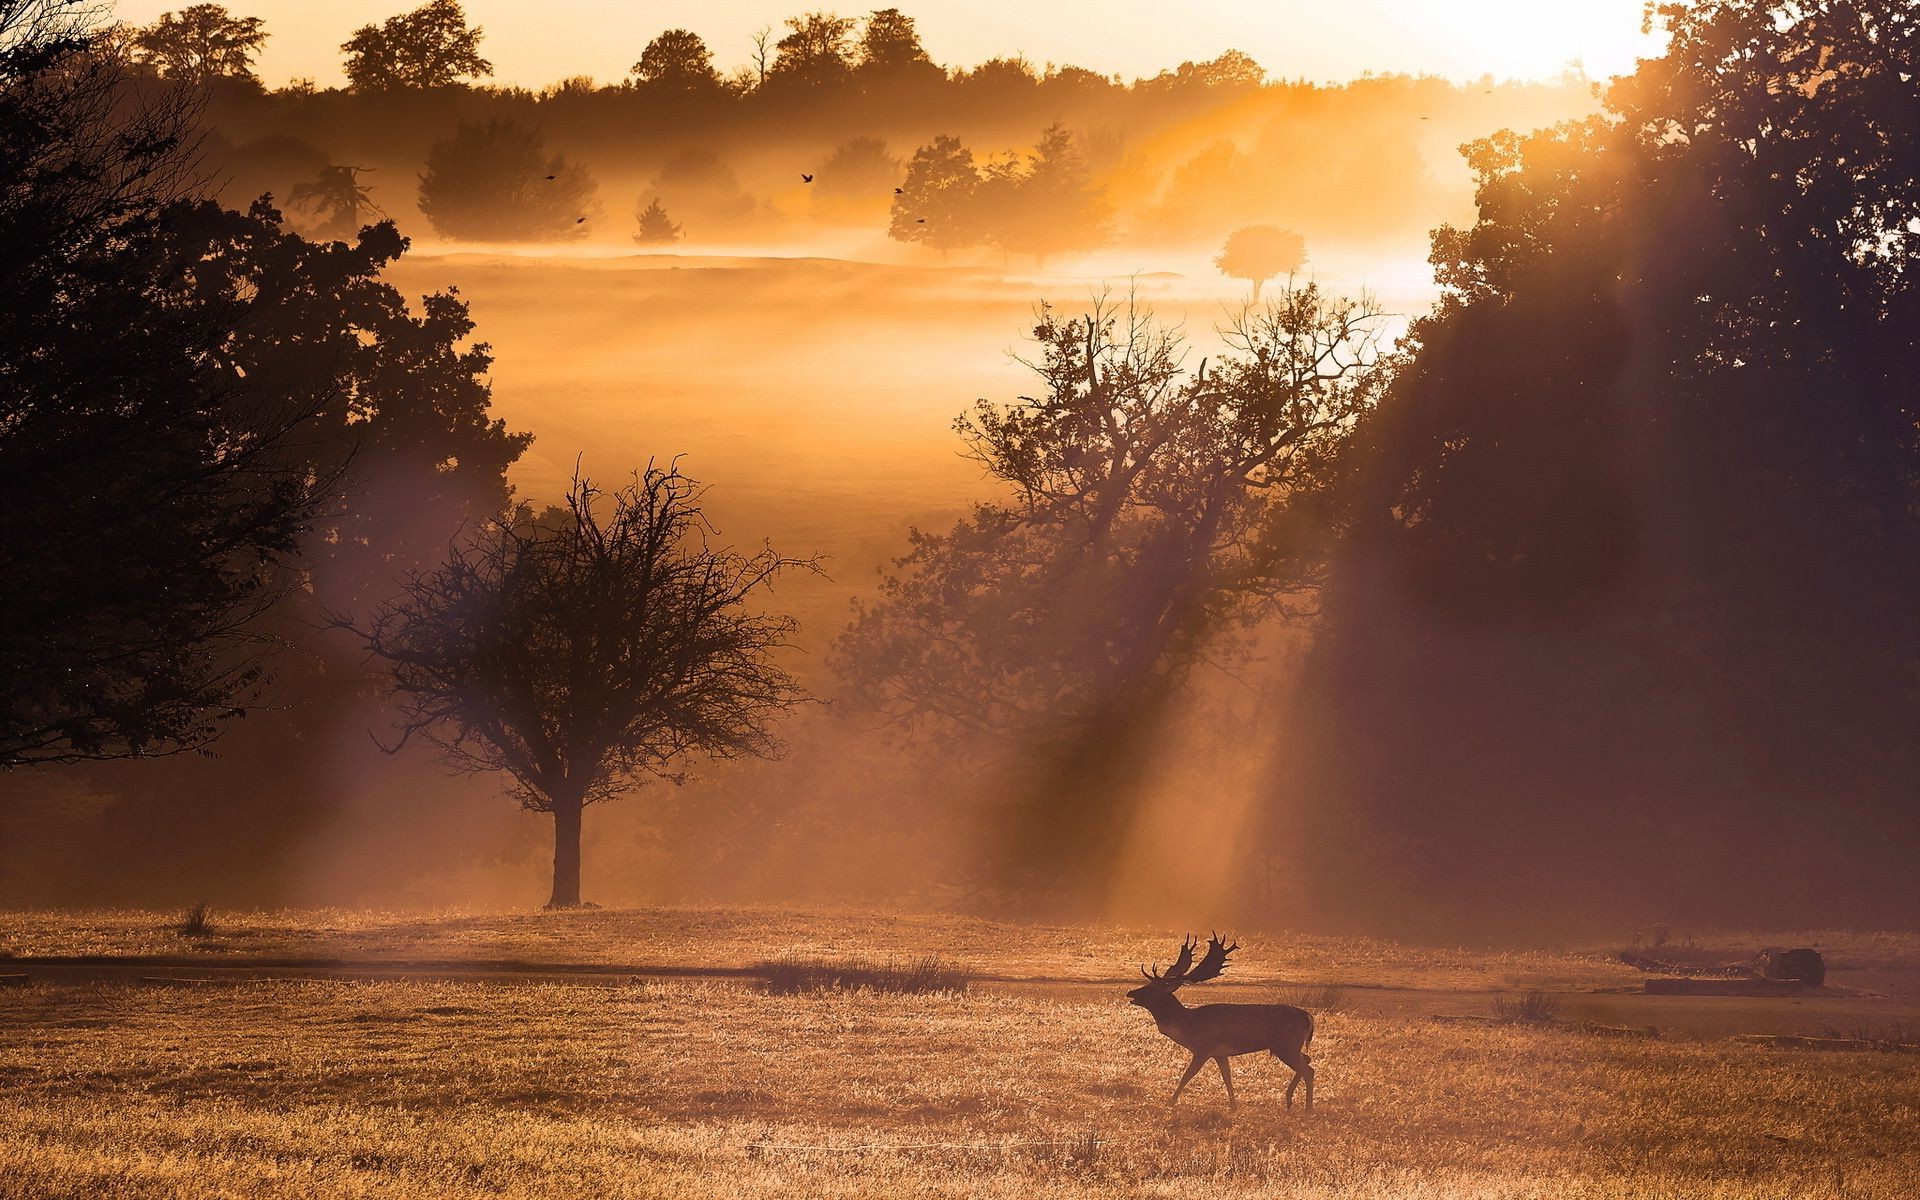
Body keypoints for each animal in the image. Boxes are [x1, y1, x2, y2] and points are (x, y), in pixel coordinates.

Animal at [1121, 933, 1320, 1105]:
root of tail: (1309, 1017)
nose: (1131, 992)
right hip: (1289, 1047)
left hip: (1286, 1045)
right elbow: (1227, 1078)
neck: (1187, 1025)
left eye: (1153, 988)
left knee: (1308, 1070)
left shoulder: (1203, 1048)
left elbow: (1187, 1076)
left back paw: (1308, 1108)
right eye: (1148, 984)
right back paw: (1289, 1100)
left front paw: (1171, 1102)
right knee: (1308, 1060)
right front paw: (1233, 1106)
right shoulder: (1220, 1054)